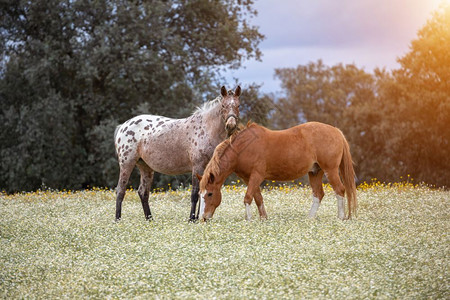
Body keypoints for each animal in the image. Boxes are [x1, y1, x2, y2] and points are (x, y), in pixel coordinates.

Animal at [115, 85, 243, 221]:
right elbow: (195, 193)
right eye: (223, 105)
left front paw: (199, 218)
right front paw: (192, 219)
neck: (206, 128)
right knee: (121, 190)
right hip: (126, 164)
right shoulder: (197, 167)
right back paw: (118, 220)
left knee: (143, 192)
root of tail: (123, 126)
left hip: (146, 167)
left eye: (238, 105)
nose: (231, 125)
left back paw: (149, 219)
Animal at [199, 120, 356, 221]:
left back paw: (340, 217)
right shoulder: (249, 178)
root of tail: (336, 131)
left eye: (210, 194)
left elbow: (248, 197)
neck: (243, 148)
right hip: (315, 172)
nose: (204, 218)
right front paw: (263, 219)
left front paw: (248, 219)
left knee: (340, 190)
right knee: (318, 194)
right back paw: (310, 219)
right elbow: (258, 198)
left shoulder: (256, 176)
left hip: (331, 170)